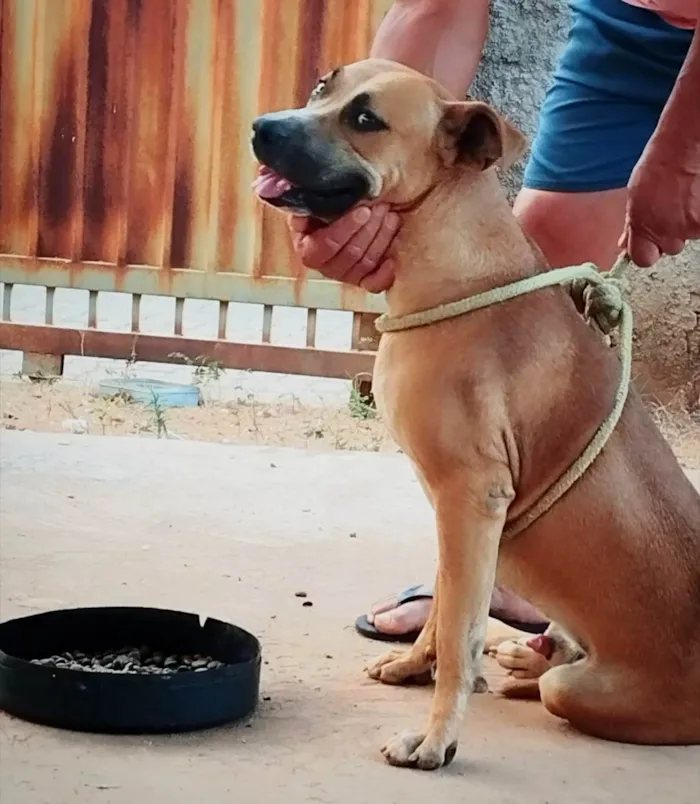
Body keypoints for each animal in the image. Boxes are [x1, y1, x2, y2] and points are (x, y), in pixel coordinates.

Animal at [252, 58, 700, 772]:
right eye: (324, 86)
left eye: (365, 119)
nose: (261, 128)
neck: (454, 264)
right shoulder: (451, 510)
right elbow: (445, 611)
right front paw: (414, 665)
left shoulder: (469, 500)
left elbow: (460, 636)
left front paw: (437, 737)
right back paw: (526, 651)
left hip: (584, 690)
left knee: (552, 682)